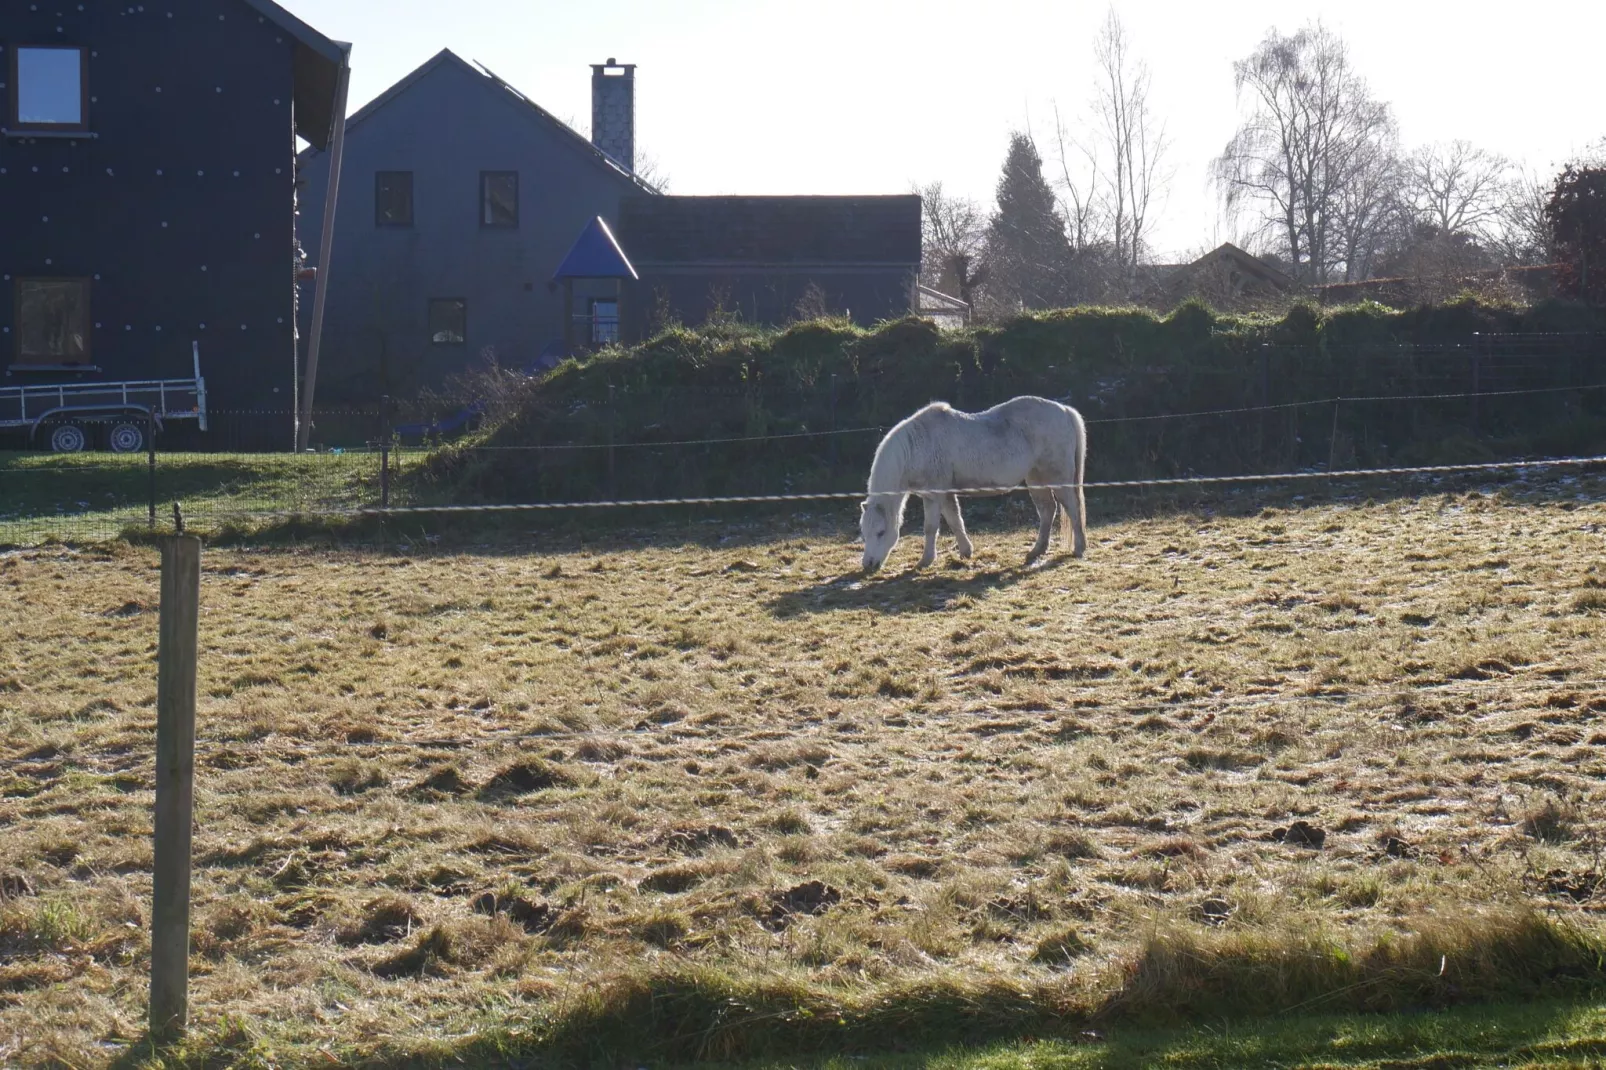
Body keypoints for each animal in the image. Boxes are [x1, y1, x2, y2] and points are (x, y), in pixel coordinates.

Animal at [860, 393, 1085, 575]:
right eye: (864, 532)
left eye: (881, 532)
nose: (868, 565)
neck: (919, 445)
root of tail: (1064, 410)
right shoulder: (945, 494)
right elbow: (955, 521)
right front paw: (966, 552)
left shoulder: (934, 496)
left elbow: (931, 528)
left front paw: (925, 561)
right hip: (1036, 479)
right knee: (1047, 510)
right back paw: (1036, 551)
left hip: (1058, 478)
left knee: (1072, 509)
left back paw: (1079, 548)